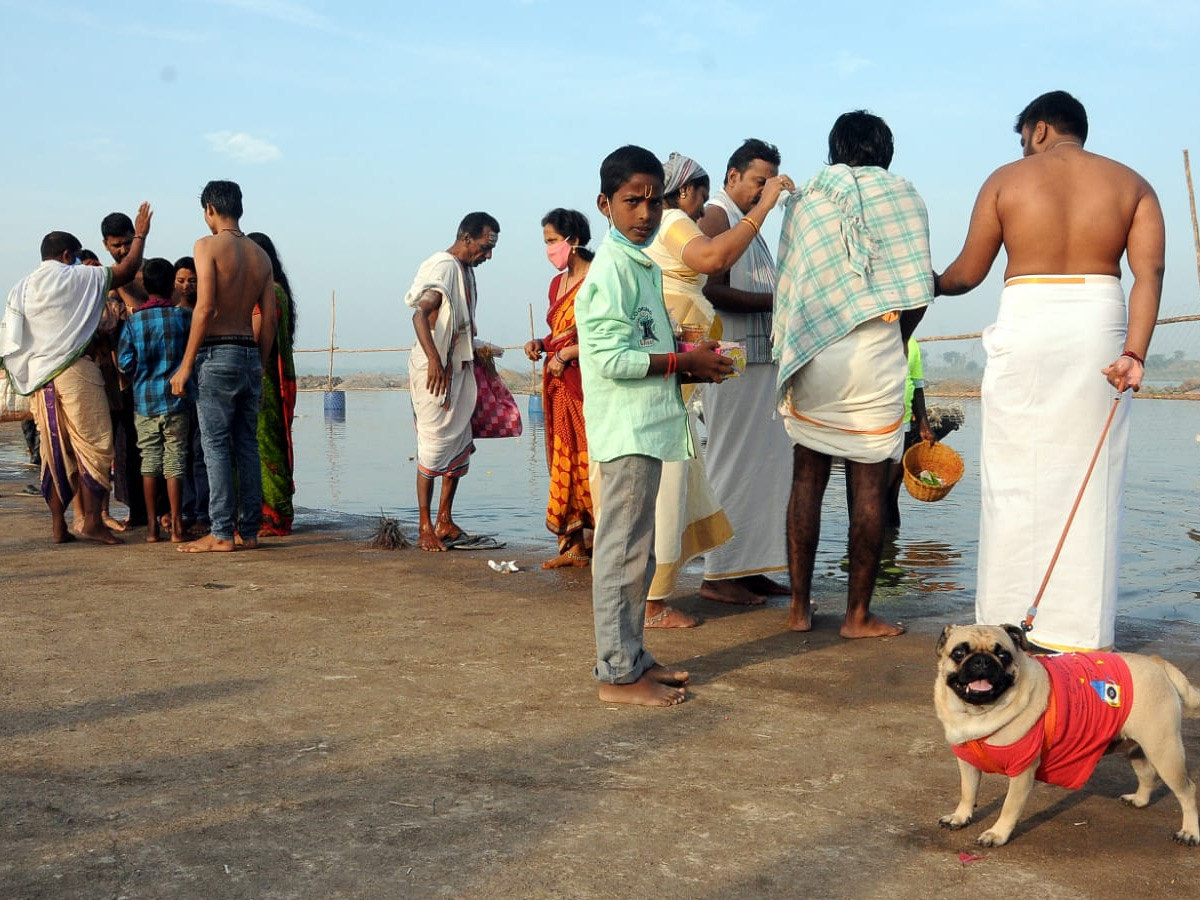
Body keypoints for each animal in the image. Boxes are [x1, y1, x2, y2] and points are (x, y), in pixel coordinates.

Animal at [936, 628, 1200, 844]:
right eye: (958, 653)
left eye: (1003, 655)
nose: (982, 661)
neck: (978, 713)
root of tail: (1157, 662)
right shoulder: (967, 763)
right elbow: (968, 792)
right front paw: (960, 817)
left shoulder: (1022, 771)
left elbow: (1009, 807)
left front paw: (997, 834)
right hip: (1136, 747)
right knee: (1147, 774)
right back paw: (1139, 800)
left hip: (1164, 751)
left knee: (1188, 790)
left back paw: (1189, 833)